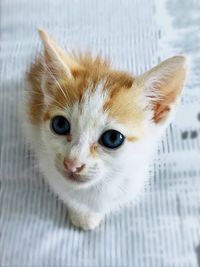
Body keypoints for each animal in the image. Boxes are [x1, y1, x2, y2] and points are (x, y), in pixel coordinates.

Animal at [23, 28, 188, 230]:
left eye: (113, 138)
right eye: (60, 125)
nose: (72, 163)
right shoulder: (49, 166)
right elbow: (67, 193)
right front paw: (82, 214)